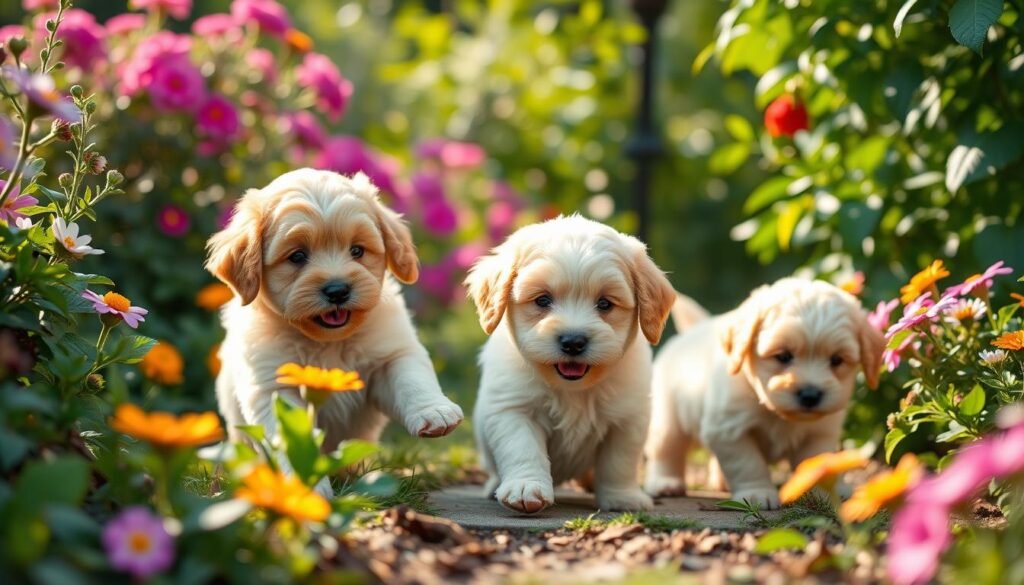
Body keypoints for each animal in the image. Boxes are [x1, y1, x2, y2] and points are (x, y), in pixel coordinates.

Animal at [205, 169, 462, 493]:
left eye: (357, 250)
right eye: (297, 256)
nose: (338, 290)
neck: (327, 342)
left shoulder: (391, 354)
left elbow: (411, 378)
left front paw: (434, 412)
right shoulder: (272, 385)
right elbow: (289, 436)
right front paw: (304, 487)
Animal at [466, 215, 675, 512]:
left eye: (604, 304)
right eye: (542, 300)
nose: (573, 342)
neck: (572, 389)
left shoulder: (627, 417)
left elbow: (619, 462)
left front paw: (622, 496)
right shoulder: (514, 409)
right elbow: (523, 450)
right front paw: (525, 487)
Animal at [643, 278, 884, 508]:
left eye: (836, 360)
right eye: (783, 356)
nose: (810, 395)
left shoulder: (820, 434)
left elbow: (815, 462)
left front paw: (823, 492)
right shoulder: (729, 431)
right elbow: (748, 464)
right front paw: (756, 493)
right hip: (668, 421)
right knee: (667, 451)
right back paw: (666, 482)